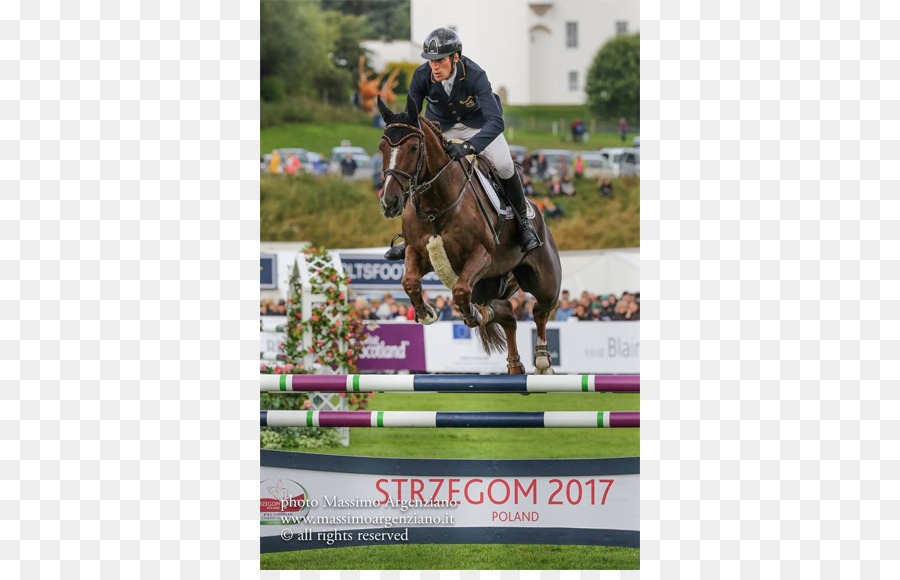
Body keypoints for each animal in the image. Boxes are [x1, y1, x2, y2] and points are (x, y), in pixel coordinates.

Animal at [374, 95, 564, 374]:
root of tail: (537, 211)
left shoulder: (481, 255)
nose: (390, 203)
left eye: (413, 148)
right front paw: (427, 312)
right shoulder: (416, 252)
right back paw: (513, 364)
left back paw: (541, 361)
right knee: (507, 315)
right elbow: (410, 282)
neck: (435, 205)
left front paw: (470, 315)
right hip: (491, 285)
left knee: (540, 310)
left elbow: (461, 291)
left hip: (542, 279)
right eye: (382, 148)